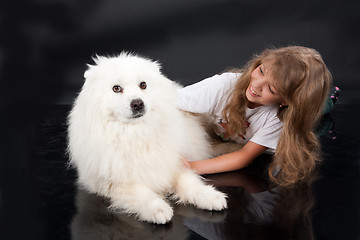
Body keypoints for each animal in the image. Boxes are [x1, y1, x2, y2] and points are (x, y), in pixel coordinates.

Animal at [66, 53, 226, 224]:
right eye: (116, 88)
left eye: (143, 85)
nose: (137, 103)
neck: (136, 135)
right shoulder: (115, 183)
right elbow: (141, 192)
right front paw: (157, 208)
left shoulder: (172, 164)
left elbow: (189, 181)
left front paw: (209, 196)